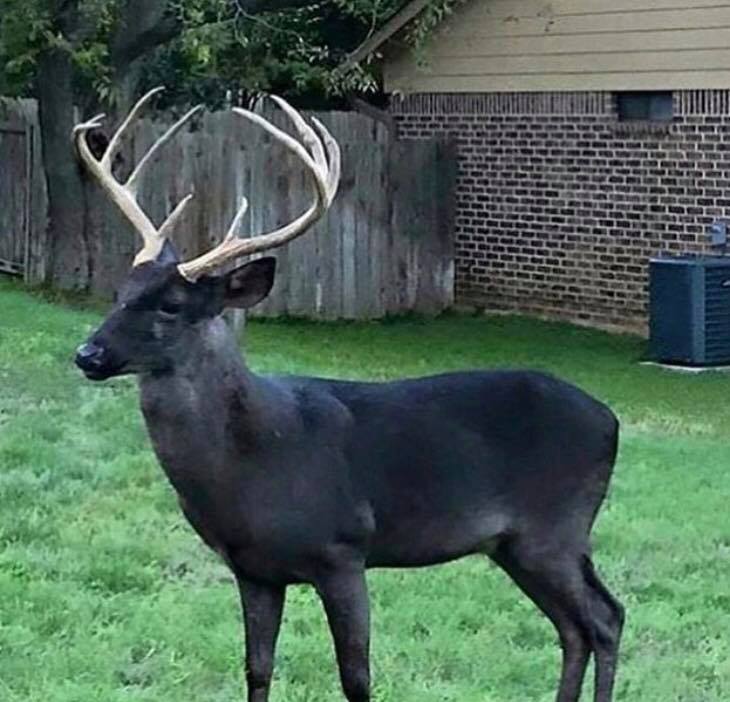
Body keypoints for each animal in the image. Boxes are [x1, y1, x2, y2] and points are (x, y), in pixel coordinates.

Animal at [72, 89, 620, 702]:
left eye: (170, 305)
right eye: (120, 292)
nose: (88, 354)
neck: (251, 459)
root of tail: (611, 420)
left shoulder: (343, 549)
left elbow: (356, 677)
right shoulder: (253, 568)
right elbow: (257, 668)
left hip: (555, 527)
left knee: (604, 619)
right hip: (517, 544)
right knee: (576, 627)